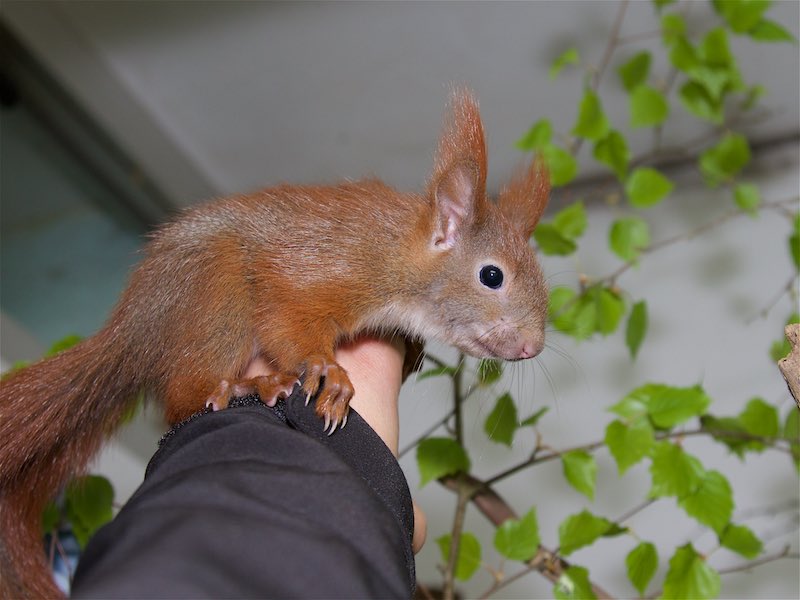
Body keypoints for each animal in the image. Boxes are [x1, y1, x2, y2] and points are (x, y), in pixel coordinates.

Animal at [0, 88, 550, 597]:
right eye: (492, 275)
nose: (533, 348)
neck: (396, 252)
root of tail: (134, 328)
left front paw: (410, 348)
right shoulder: (312, 272)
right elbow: (288, 322)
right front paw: (330, 374)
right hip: (216, 294)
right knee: (184, 396)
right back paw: (249, 385)